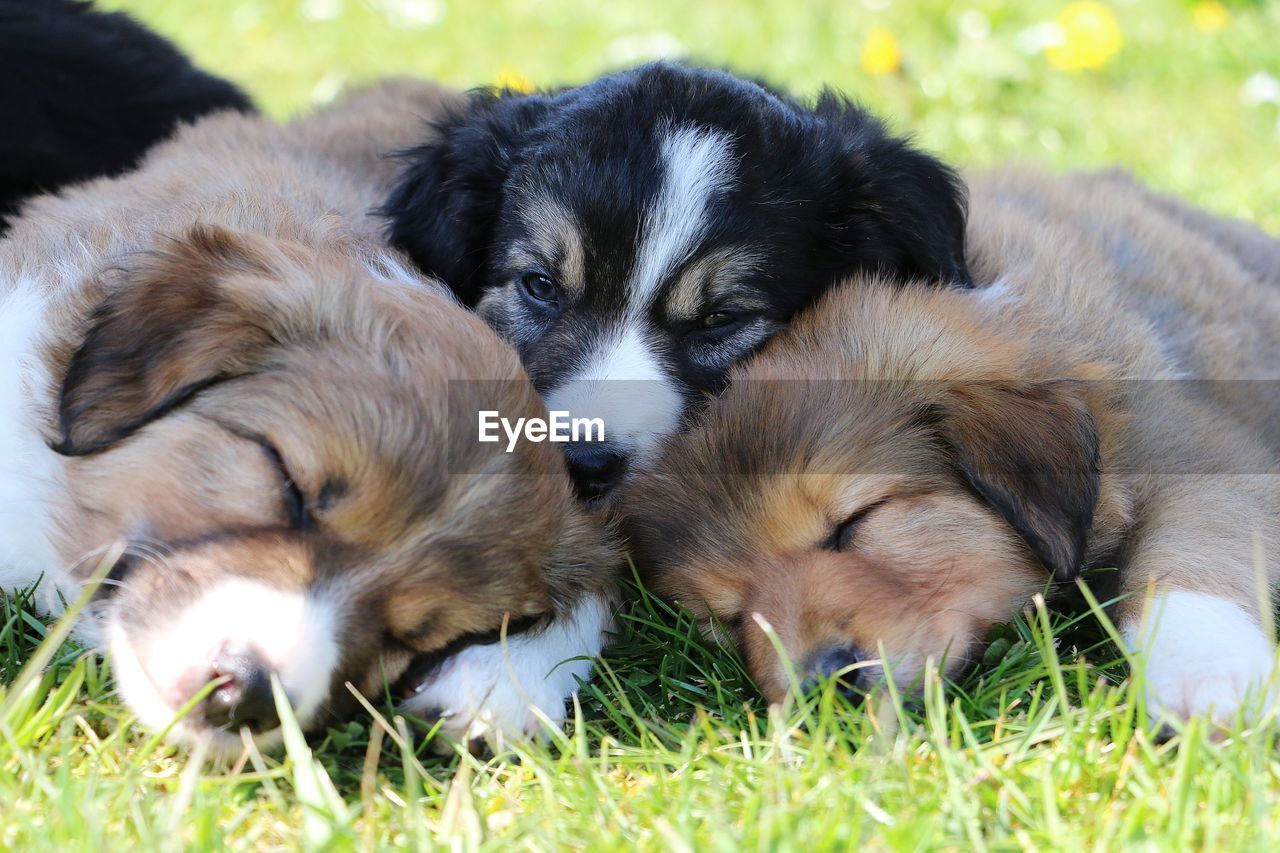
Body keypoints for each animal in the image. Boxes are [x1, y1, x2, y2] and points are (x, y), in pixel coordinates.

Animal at [622, 167, 1280, 722]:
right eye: (728, 618)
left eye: (851, 526)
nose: (824, 688)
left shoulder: (1200, 457)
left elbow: (1186, 555)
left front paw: (1209, 676)